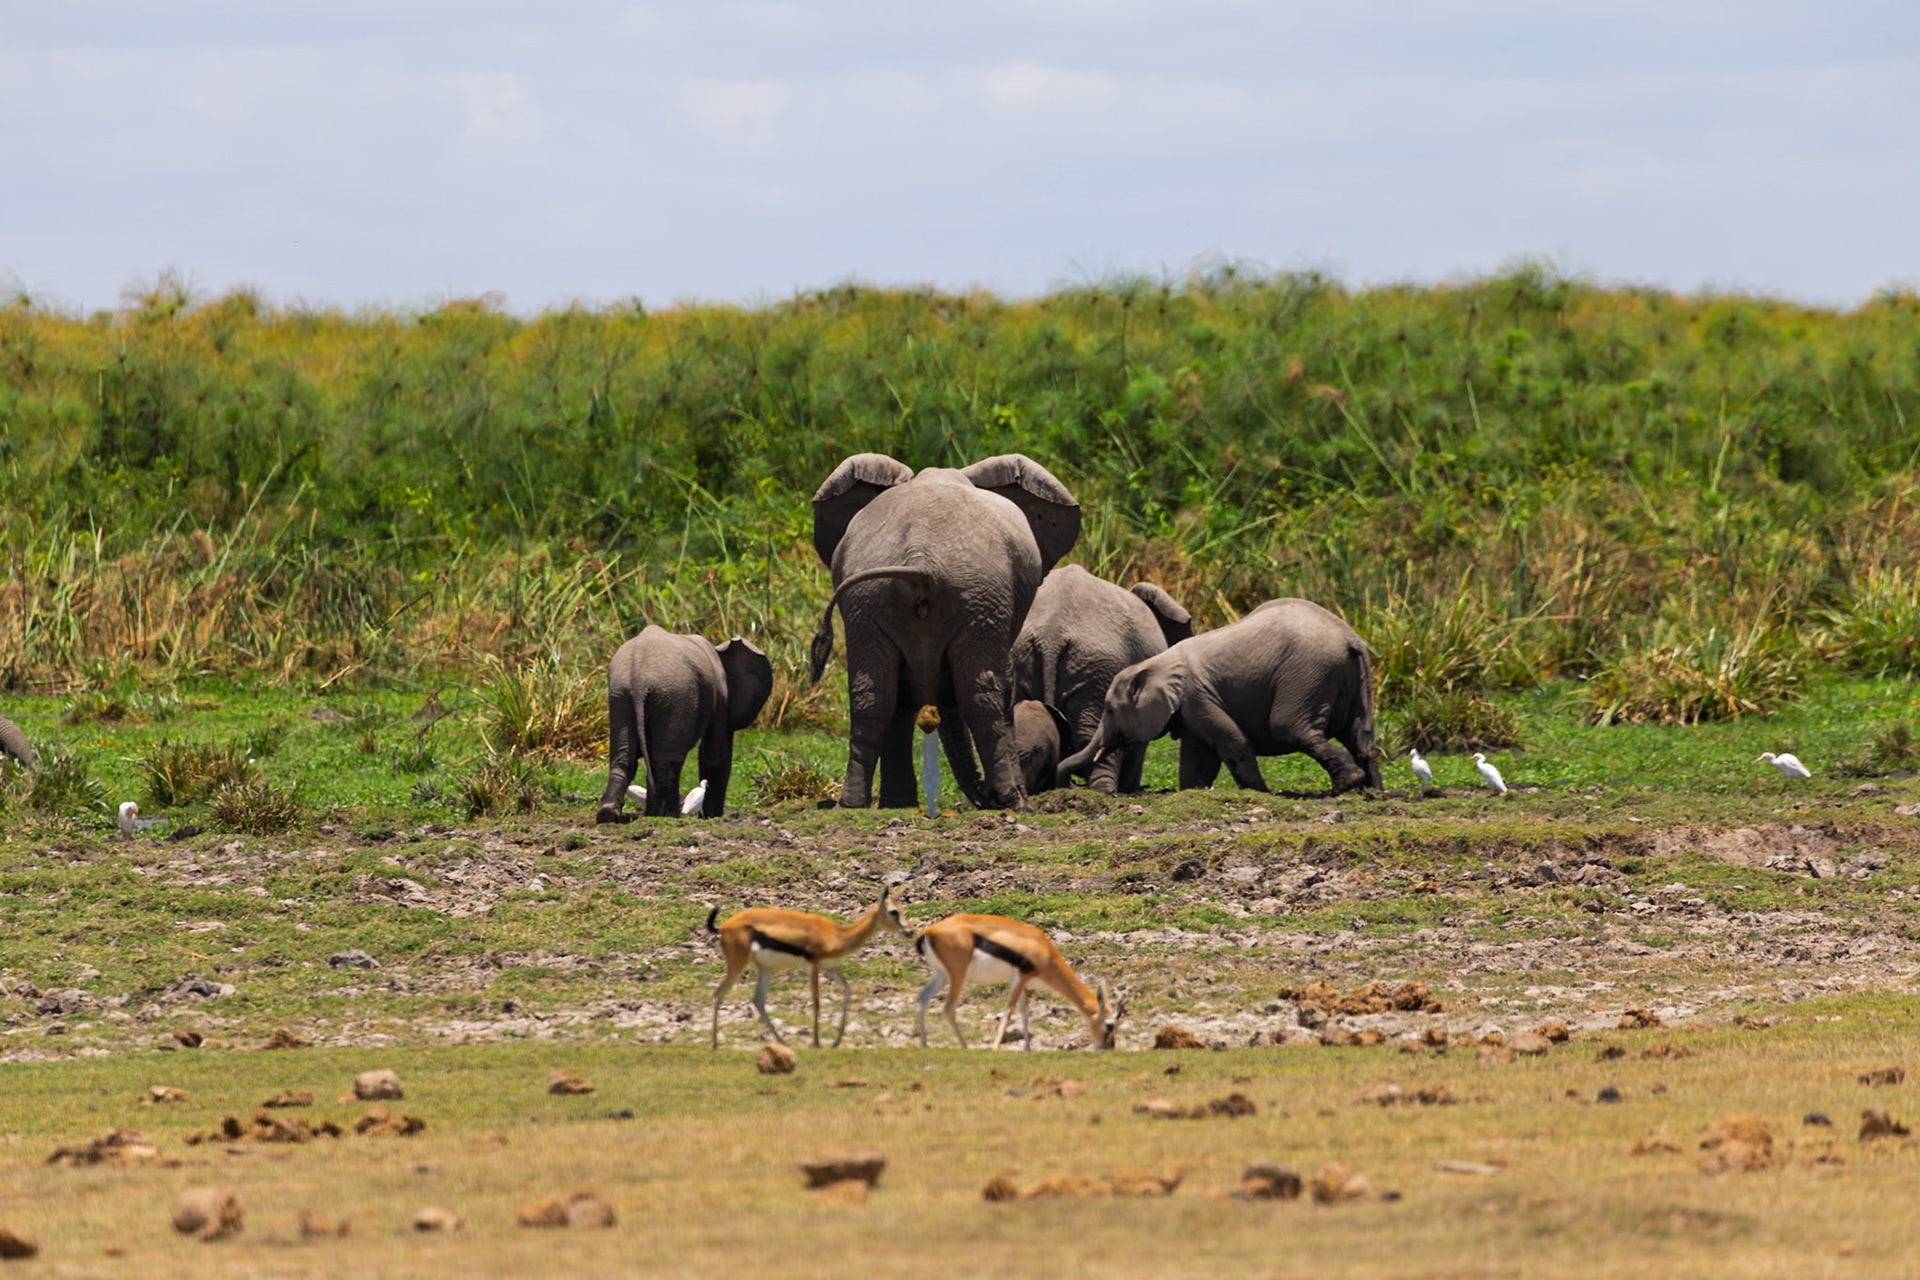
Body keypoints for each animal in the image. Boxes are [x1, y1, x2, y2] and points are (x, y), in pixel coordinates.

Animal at [594, 627, 773, 821]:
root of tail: (638, 678)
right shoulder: (721, 697)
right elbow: (715, 753)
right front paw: (711, 816)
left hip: (620, 695)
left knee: (624, 757)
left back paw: (612, 814)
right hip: (676, 695)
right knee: (666, 760)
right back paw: (669, 815)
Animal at [808, 453, 1081, 811]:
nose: (984, 798)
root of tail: (920, 556)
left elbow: (897, 697)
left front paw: (896, 805)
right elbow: (1002, 688)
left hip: (868, 600)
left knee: (873, 695)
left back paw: (852, 806)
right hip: (979, 595)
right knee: (980, 695)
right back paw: (1013, 803)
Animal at [1058, 598, 1381, 796]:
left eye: (1110, 710)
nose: (1065, 783)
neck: (1157, 662)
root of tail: (1351, 639)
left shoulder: (1197, 696)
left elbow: (1232, 740)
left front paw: (1260, 793)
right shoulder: (1190, 709)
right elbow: (1197, 756)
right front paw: (1192, 791)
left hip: (1307, 674)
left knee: (1289, 727)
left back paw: (1347, 785)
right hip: (1352, 677)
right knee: (1360, 736)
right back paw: (1372, 791)